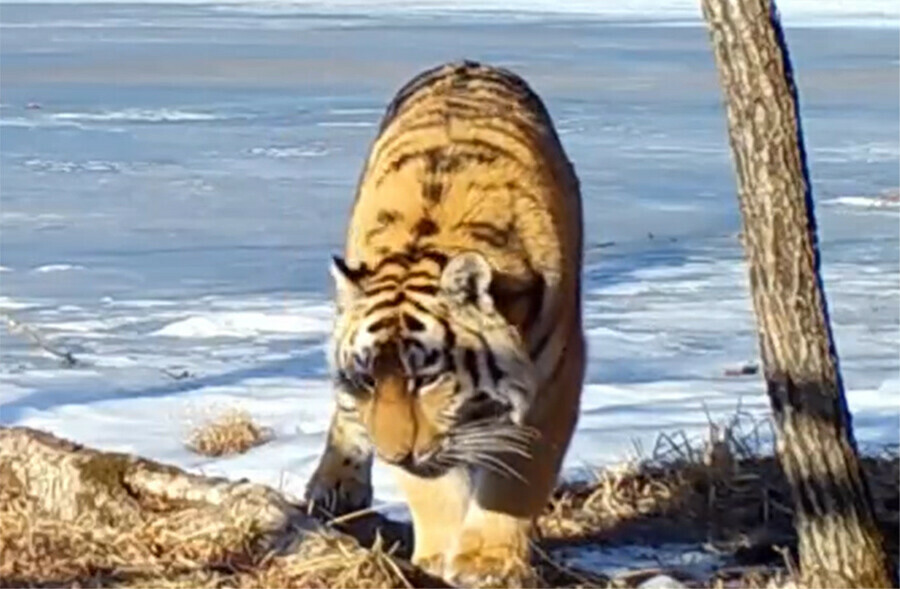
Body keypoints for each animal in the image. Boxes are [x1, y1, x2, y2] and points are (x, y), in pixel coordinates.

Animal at [306, 59, 588, 584]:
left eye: (426, 378)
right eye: (369, 378)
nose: (395, 455)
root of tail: (470, 62)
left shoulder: (557, 378)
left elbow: (518, 478)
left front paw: (487, 562)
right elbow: (428, 486)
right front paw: (438, 555)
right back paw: (334, 486)